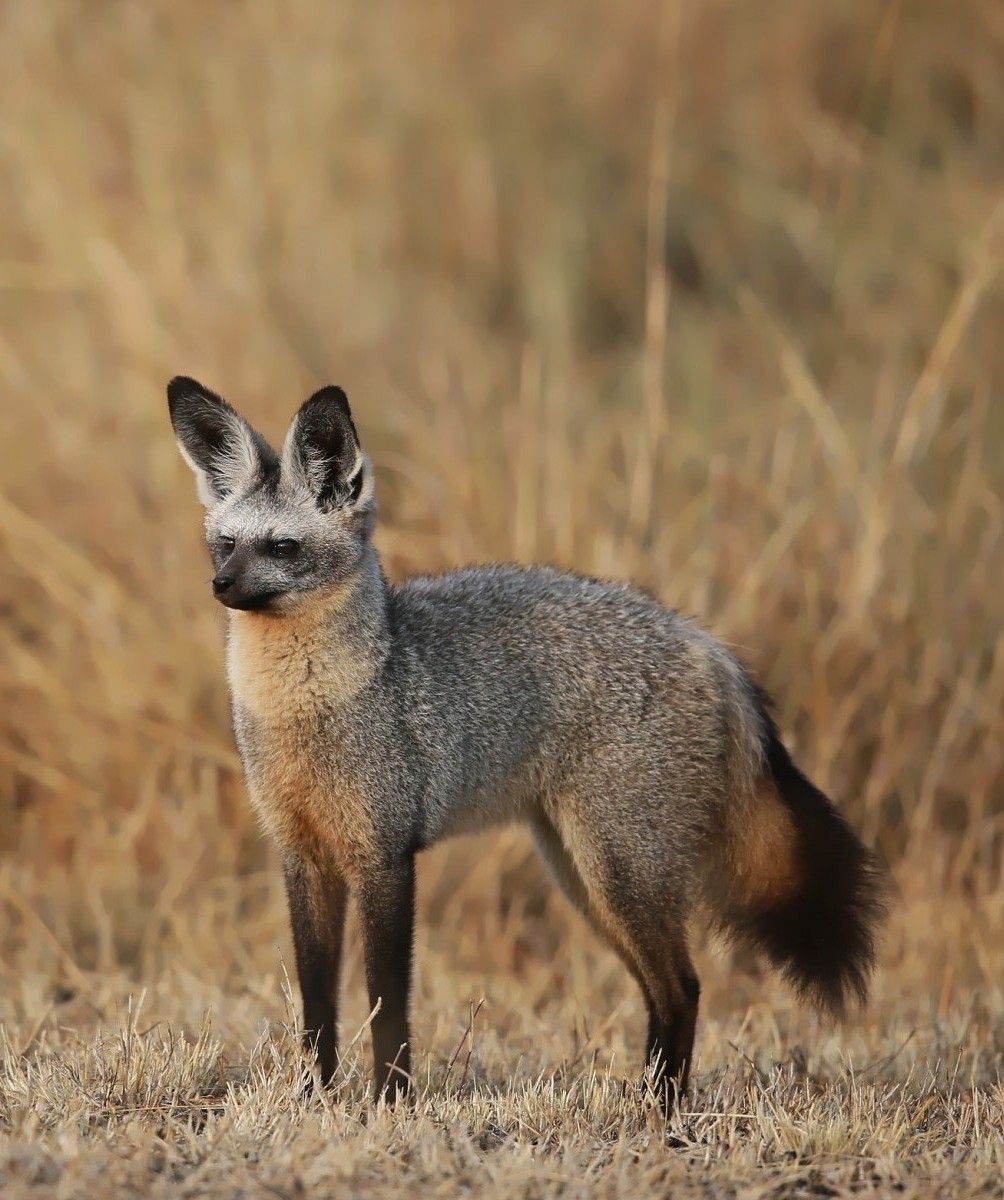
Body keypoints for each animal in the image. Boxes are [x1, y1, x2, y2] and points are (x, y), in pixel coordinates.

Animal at [168, 375, 884, 1115]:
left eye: (281, 547)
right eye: (225, 544)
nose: (220, 586)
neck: (307, 708)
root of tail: (707, 644)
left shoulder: (384, 858)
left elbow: (388, 1004)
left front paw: (392, 1103)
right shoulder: (302, 858)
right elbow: (317, 1008)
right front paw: (316, 1100)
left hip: (617, 872)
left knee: (684, 986)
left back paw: (661, 1114)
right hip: (584, 876)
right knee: (666, 991)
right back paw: (650, 1104)